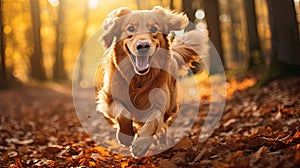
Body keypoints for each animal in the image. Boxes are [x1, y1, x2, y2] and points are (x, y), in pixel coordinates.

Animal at [96, 5, 206, 158]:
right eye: (131, 29)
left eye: (154, 29)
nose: (143, 46)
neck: (138, 80)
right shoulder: (108, 98)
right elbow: (123, 113)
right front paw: (125, 136)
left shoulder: (160, 103)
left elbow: (153, 120)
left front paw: (141, 144)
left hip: (171, 105)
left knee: (164, 127)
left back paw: (163, 144)